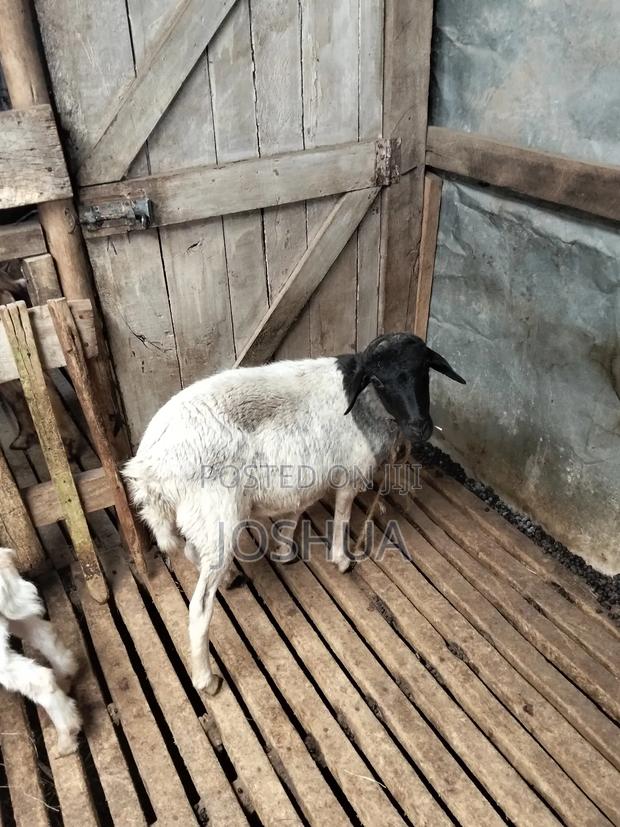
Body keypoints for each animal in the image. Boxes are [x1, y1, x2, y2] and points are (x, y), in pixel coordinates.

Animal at [124, 332, 466, 695]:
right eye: (378, 380)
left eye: (424, 370)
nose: (419, 429)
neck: (366, 405)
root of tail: (148, 467)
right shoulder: (350, 472)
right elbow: (342, 516)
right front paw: (341, 559)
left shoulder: (306, 473)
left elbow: (297, 509)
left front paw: (285, 550)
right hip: (217, 512)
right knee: (200, 607)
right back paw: (206, 679)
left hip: (202, 516)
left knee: (193, 551)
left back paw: (228, 578)